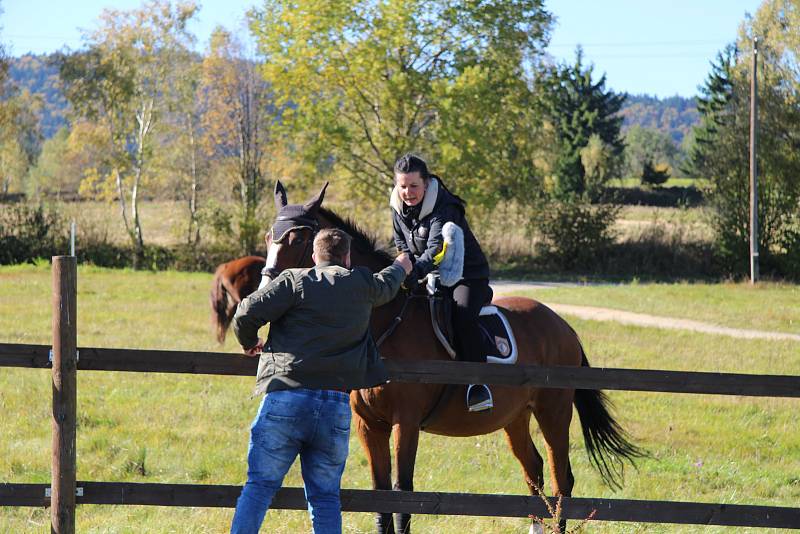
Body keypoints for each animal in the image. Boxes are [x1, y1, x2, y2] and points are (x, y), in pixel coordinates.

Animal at [212, 183, 644, 532]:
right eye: (269, 235)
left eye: (298, 236)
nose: (264, 290)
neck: (384, 316)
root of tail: (563, 326)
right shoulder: (370, 426)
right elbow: (380, 497)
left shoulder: (405, 423)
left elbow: (402, 495)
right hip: (516, 418)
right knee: (534, 472)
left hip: (554, 411)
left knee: (561, 479)